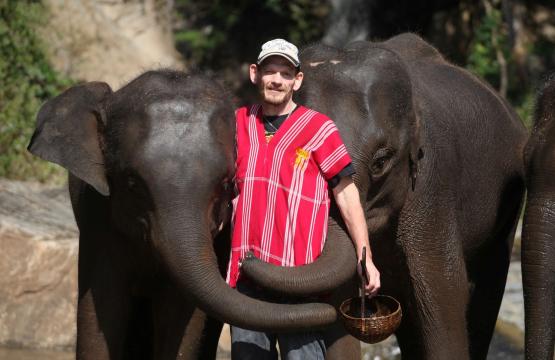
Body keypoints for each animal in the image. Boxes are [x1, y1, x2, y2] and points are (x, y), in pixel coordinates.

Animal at [27, 69, 356, 358]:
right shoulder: (97, 215)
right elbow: (102, 306)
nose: (248, 259)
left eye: (226, 184)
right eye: (132, 183)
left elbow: (184, 312)